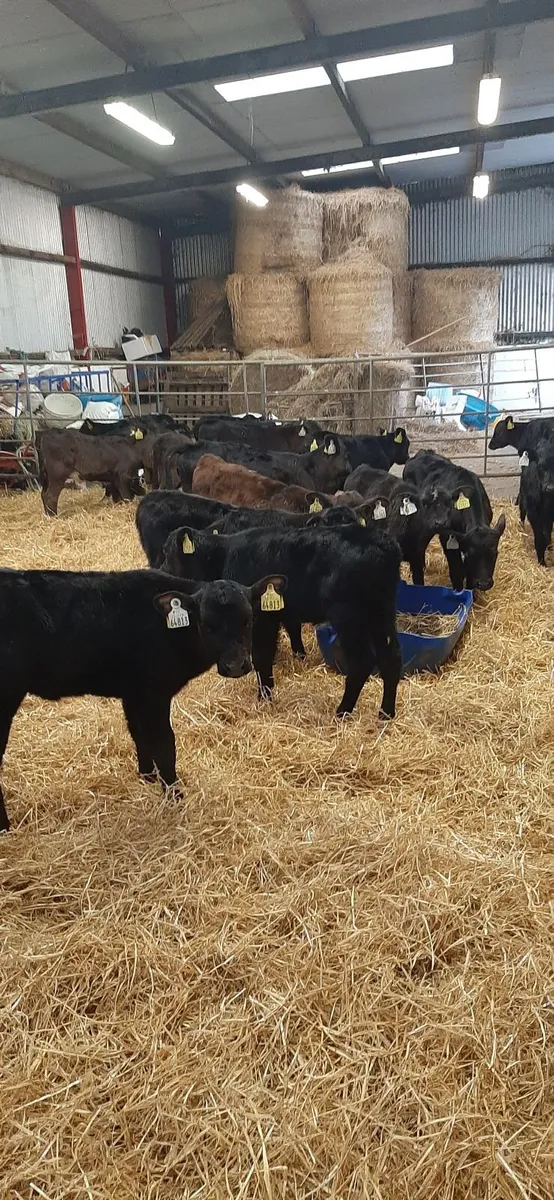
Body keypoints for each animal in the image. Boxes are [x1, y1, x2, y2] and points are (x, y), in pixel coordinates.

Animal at [0, 567, 283, 832]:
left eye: (248, 620)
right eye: (207, 624)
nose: (235, 666)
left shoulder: (133, 692)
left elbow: (138, 734)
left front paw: (147, 777)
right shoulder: (154, 693)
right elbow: (165, 745)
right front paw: (174, 797)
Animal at [161, 521, 401, 721]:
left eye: (167, 554)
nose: (161, 570)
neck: (224, 555)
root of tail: (384, 544)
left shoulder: (262, 619)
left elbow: (261, 657)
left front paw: (264, 697)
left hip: (349, 616)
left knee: (362, 662)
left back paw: (342, 713)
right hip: (381, 614)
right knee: (390, 657)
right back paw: (385, 714)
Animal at [404, 450, 506, 591]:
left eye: (495, 553)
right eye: (471, 555)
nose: (484, 584)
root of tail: (422, 452)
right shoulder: (448, 539)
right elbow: (457, 571)